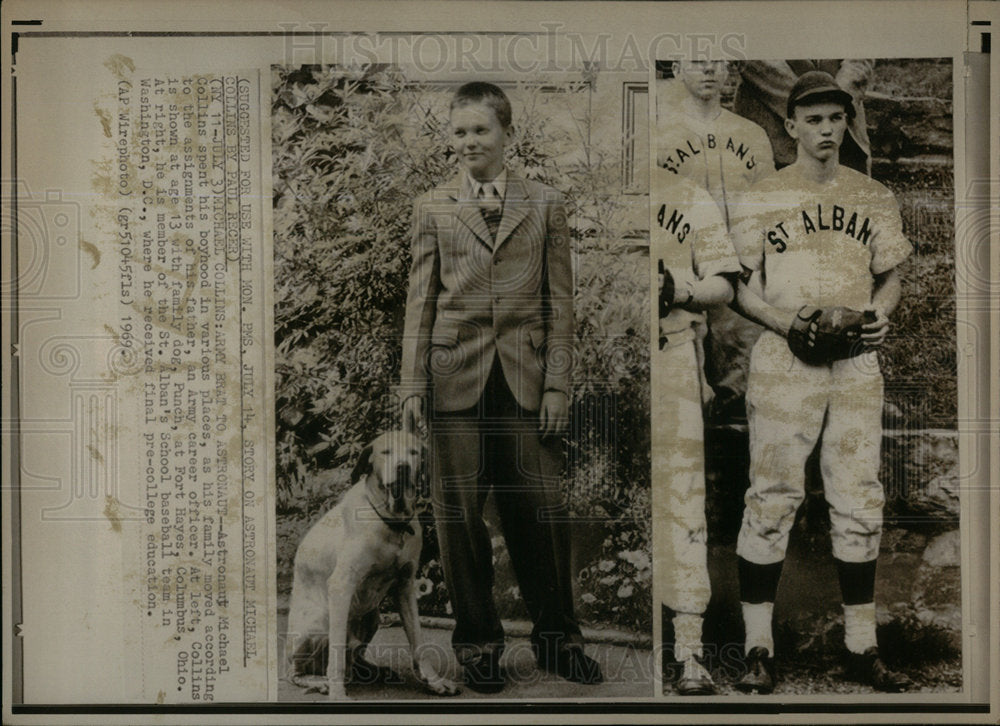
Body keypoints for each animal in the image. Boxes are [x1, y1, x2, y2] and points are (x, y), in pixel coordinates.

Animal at [286, 432, 460, 700]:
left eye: (414, 452)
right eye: (386, 452)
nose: (403, 467)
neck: (391, 521)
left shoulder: (405, 587)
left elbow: (418, 641)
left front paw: (434, 681)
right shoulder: (341, 586)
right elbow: (336, 652)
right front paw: (337, 692)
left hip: (372, 616)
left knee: (354, 658)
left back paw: (375, 670)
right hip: (319, 622)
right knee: (298, 671)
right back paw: (319, 681)